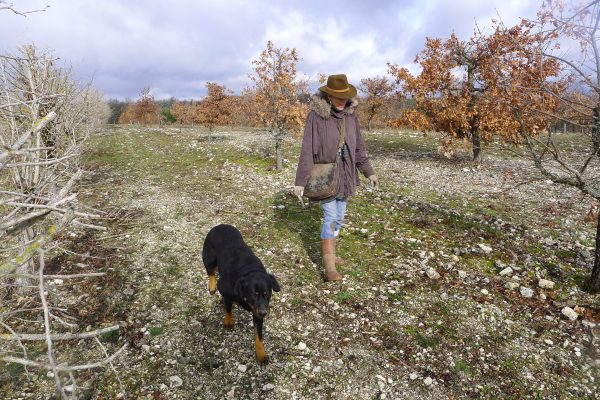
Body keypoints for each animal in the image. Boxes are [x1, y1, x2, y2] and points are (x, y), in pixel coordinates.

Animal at [203, 225, 280, 366]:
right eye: (253, 295)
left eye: (267, 294)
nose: (264, 313)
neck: (249, 271)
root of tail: (220, 225)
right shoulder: (226, 290)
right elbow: (228, 307)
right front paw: (228, 321)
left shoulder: (258, 310)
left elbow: (258, 335)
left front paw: (261, 354)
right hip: (208, 257)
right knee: (211, 271)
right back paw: (212, 286)